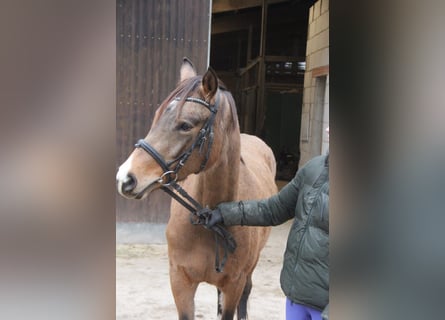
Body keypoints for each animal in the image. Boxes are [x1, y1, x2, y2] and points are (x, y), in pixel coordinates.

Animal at [117, 58, 278, 318]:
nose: (126, 178)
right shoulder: (180, 281)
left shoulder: (235, 283)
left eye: (185, 125)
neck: (210, 221)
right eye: (156, 117)